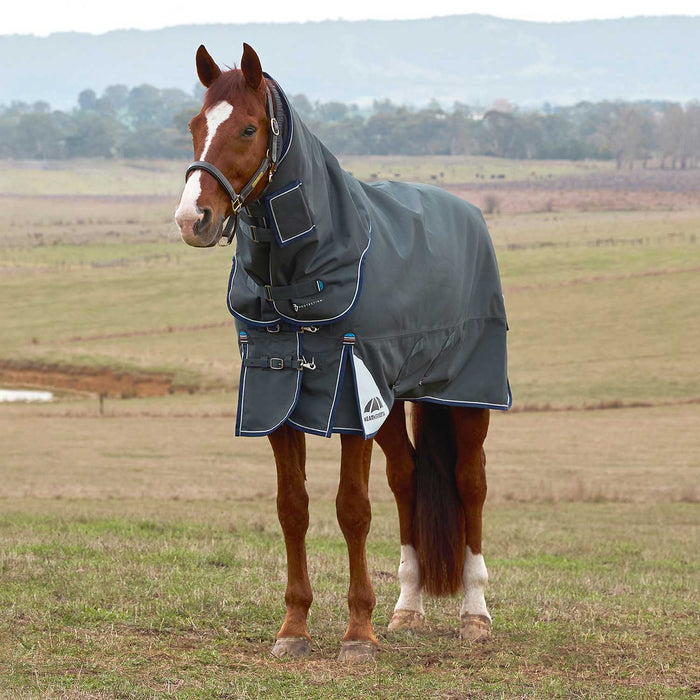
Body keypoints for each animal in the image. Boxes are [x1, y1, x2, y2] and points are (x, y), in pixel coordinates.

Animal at [174, 43, 510, 662]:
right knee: (407, 478)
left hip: (467, 393)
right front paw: (294, 628)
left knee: (470, 482)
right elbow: (293, 509)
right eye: (194, 126)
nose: (193, 219)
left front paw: (357, 635)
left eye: (248, 127)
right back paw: (408, 608)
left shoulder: (351, 397)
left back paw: (474, 614)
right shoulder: (277, 395)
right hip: (395, 399)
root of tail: (467, 213)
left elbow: (352, 509)